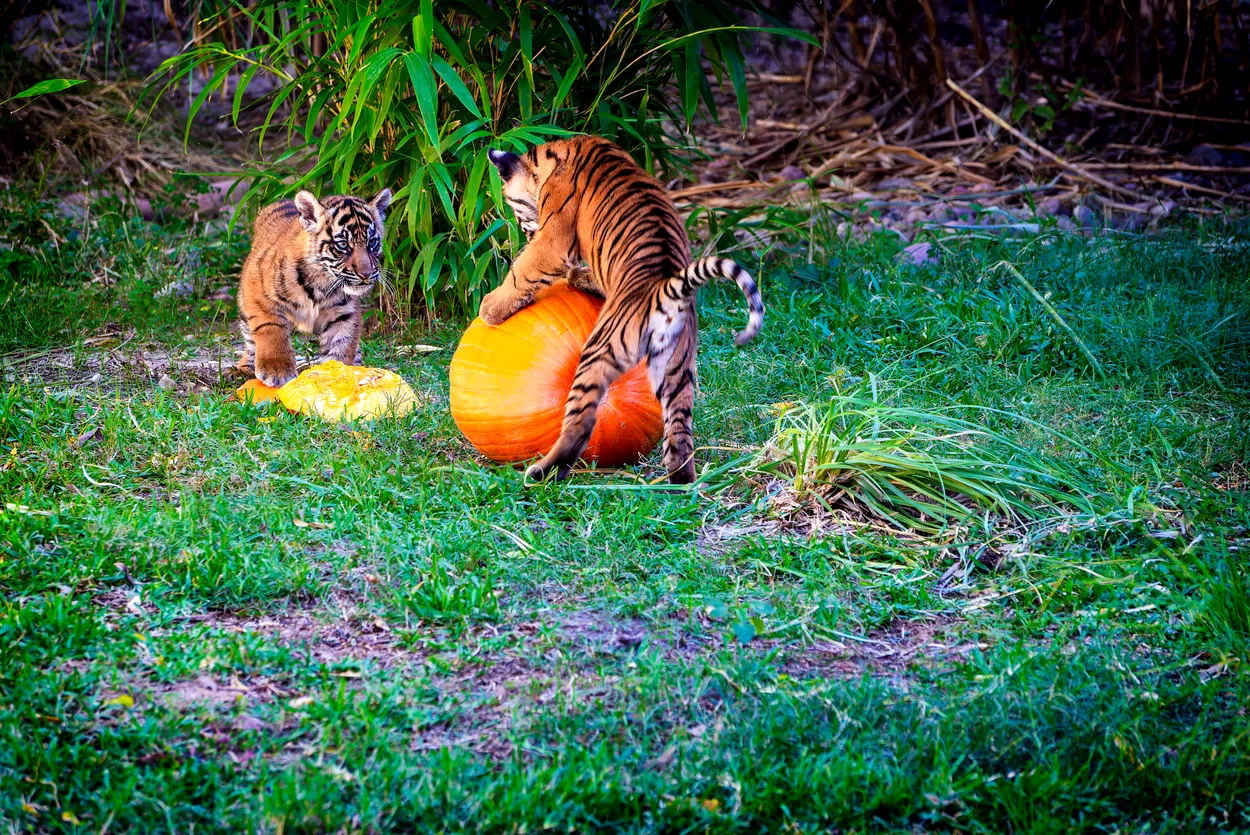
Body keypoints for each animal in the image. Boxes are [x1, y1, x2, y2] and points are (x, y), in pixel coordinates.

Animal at [236, 188, 392, 388]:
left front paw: (340, 374)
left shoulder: (344, 313)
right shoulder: (258, 291)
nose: (366, 274)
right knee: (251, 338)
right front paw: (277, 370)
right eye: (342, 245)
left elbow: (342, 344)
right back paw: (246, 367)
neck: (322, 282)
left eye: (372, 242)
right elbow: (271, 328)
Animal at [484, 135, 763, 484]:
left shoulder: (553, 239)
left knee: (580, 423)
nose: (526, 232)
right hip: (677, 368)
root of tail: (667, 289)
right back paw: (681, 484)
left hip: (598, 351)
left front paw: (491, 307)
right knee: (680, 433)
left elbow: (524, 270)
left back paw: (543, 472)